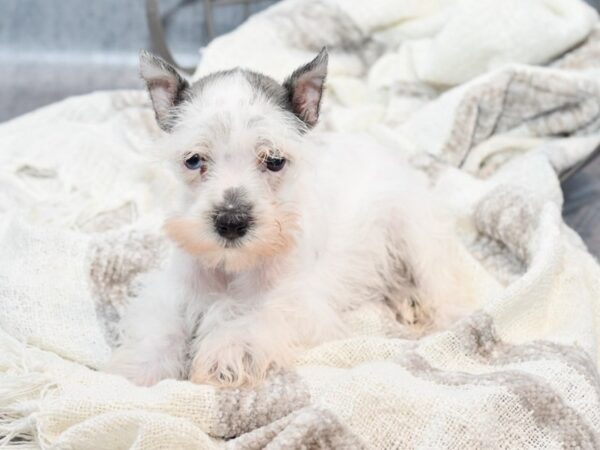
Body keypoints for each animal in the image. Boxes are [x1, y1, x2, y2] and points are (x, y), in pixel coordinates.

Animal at [109, 48, 468, 386]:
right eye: (194, 160)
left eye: (274, 161)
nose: (231, 222)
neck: (234, 267)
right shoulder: (173, 289)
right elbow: (162, 323)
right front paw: (145, 366)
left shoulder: (298, 302)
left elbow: (255, 317)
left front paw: (227, 350)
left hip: (414, 233)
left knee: (441, 285)